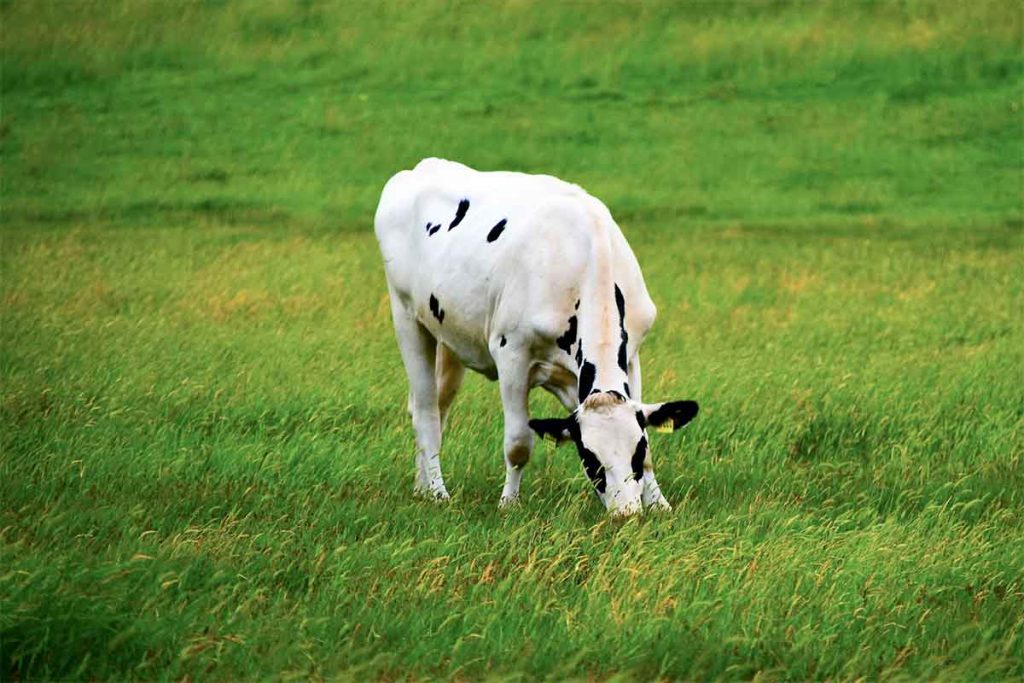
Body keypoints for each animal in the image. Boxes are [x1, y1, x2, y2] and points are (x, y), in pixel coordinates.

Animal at [374, 158, 699, 516]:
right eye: (591, 460)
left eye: (636, 452)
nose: (626, 513)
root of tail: (421, 168)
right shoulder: (512, 353)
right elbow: (518, 442)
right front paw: (509, 503)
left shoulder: (631, 355)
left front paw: (659, 503)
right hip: (406, 317)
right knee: (425, 411)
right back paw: (437, 491)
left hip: (449, 336)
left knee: (437, 405)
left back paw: (422, 486)